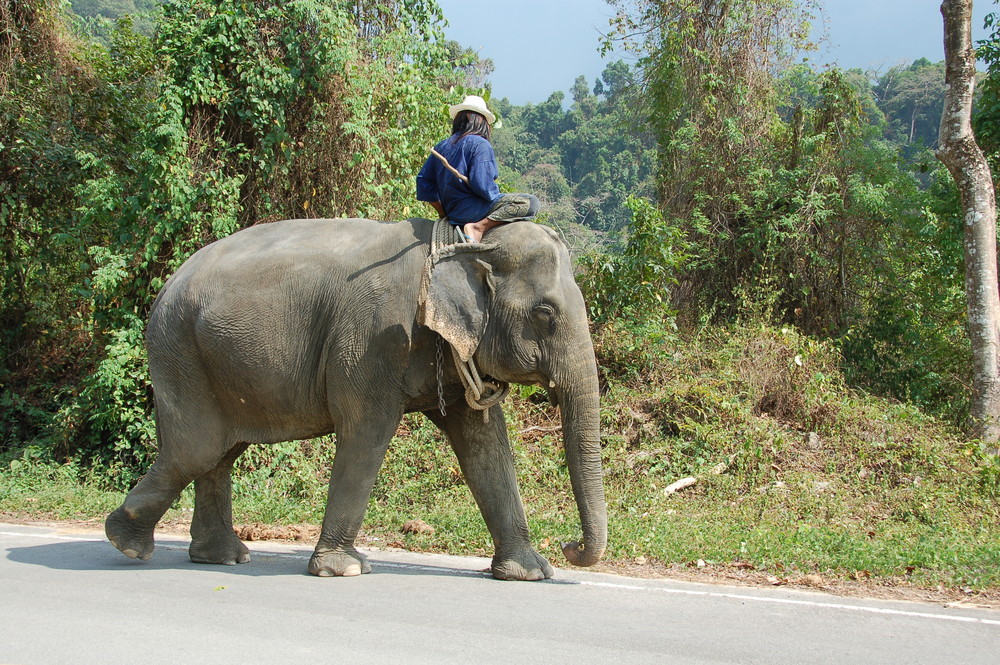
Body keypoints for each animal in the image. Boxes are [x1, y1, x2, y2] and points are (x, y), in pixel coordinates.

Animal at [107, 215, 608, 580]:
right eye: (545, 314)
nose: (570, 546)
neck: (457, 246)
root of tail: (168, 283)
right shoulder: (373, 339)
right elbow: (368, 430)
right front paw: (343, 568)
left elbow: (484, 443)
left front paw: (531, 572)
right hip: (180, 353)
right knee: (196, 449)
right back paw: (126, 542)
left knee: (220, 453)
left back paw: (222, 557)